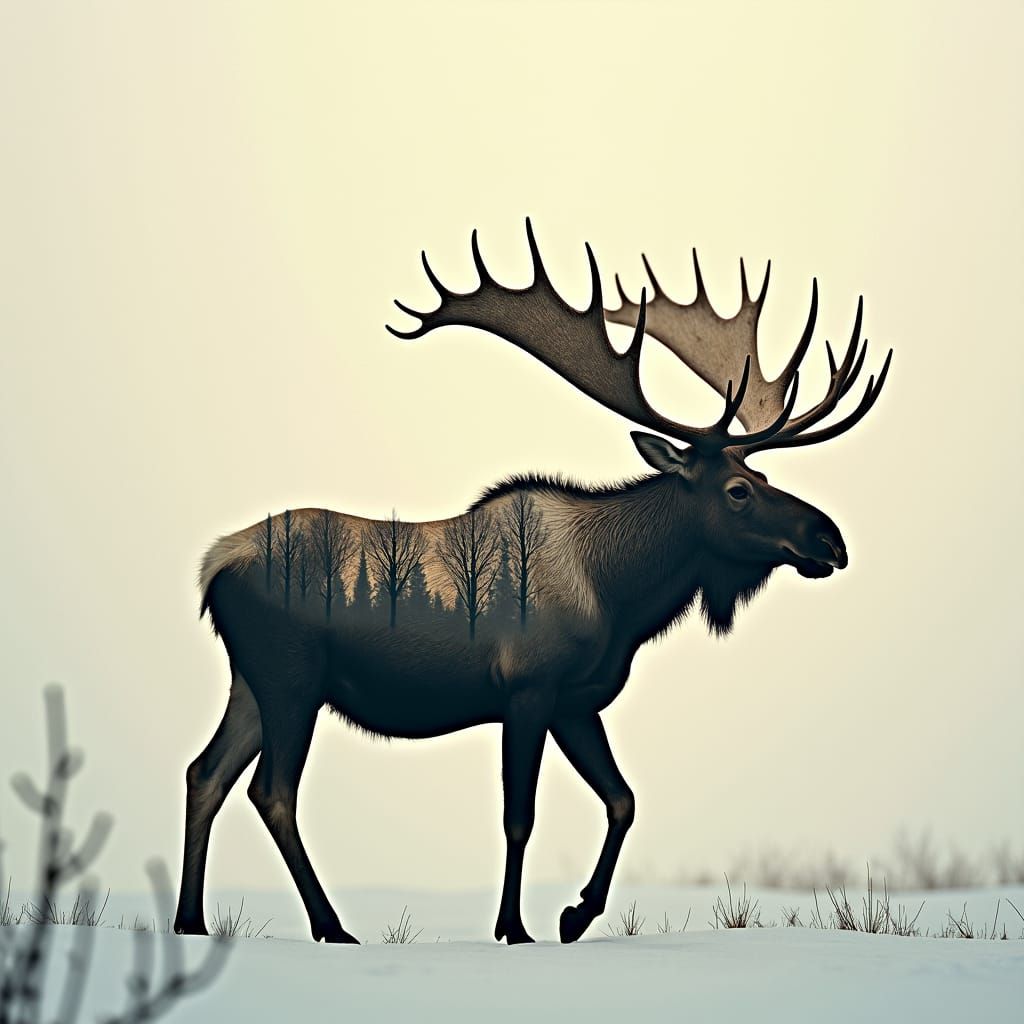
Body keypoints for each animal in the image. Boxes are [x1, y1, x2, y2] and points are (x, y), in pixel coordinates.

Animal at [173, 220, 891, 945]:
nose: (830, 540)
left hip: (252, 682)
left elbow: (624, 799)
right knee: (272, 791)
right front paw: (514, 927)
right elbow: (520, 816)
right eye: (739, 489)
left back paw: (190, 920)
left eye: (764, 477)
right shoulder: (528, 687)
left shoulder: (577, 701)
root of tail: (212, 566)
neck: (617, 589)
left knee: (205, 773)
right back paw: (330, 925)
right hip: (291, 677)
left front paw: (576, 915)